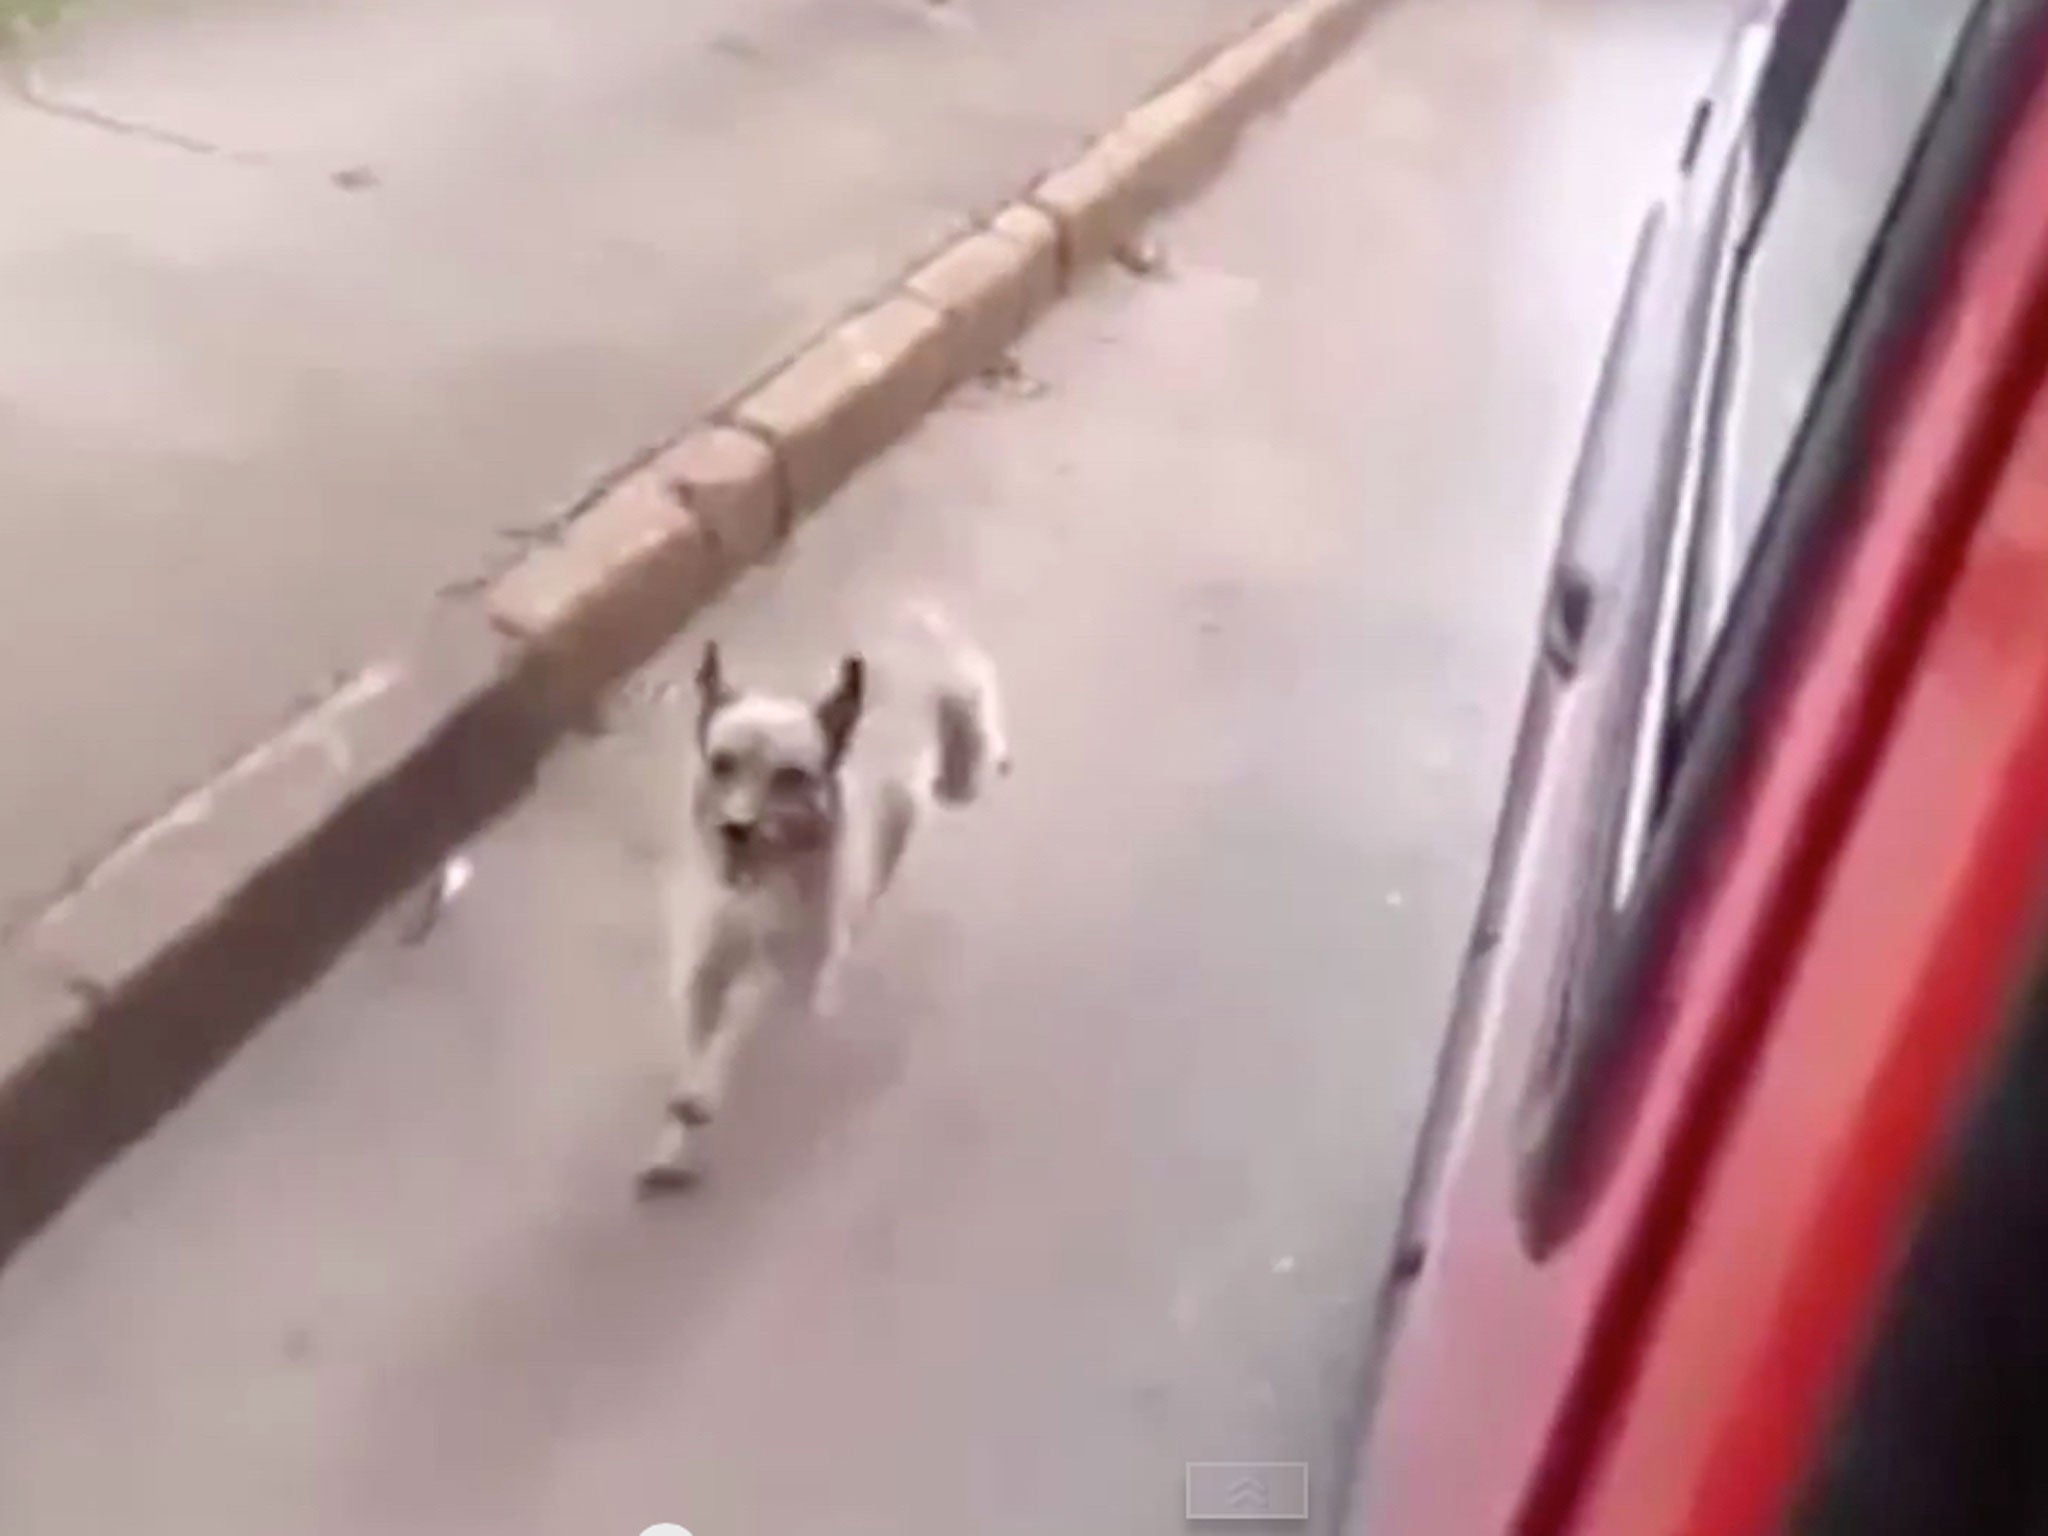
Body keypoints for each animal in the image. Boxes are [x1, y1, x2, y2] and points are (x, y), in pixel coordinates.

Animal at [638, 602, 1007, 1187]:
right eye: (722, 763)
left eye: (791, 776)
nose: (736, 829)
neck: (762, 884)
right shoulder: (703, 965)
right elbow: (698, 1038)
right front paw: (677, 1132)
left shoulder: (784, 975)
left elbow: (740, 1024)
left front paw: (705, 1091)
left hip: (953, 747)